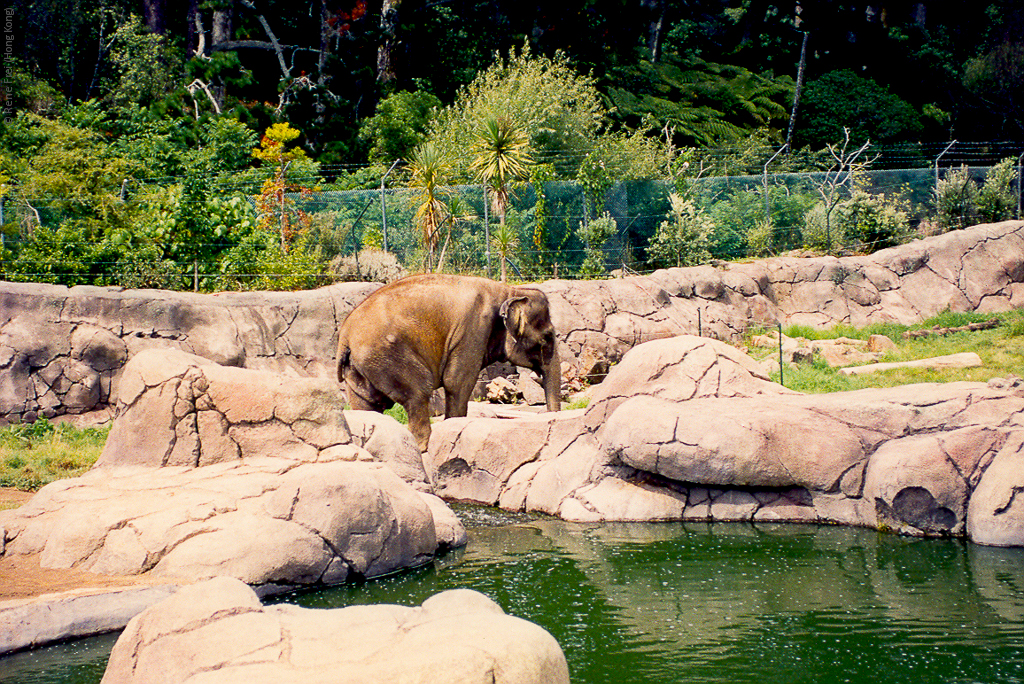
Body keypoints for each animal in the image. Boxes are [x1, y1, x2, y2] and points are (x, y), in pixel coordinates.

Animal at [335, 272, 561, 448]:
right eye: (547, 337)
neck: (510, 291)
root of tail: (345, 336)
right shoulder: (473, 331)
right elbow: (458, 383)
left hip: (359, 367)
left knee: (367, 404)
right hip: (387, 356)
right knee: (418, 394)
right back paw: (423, 448)